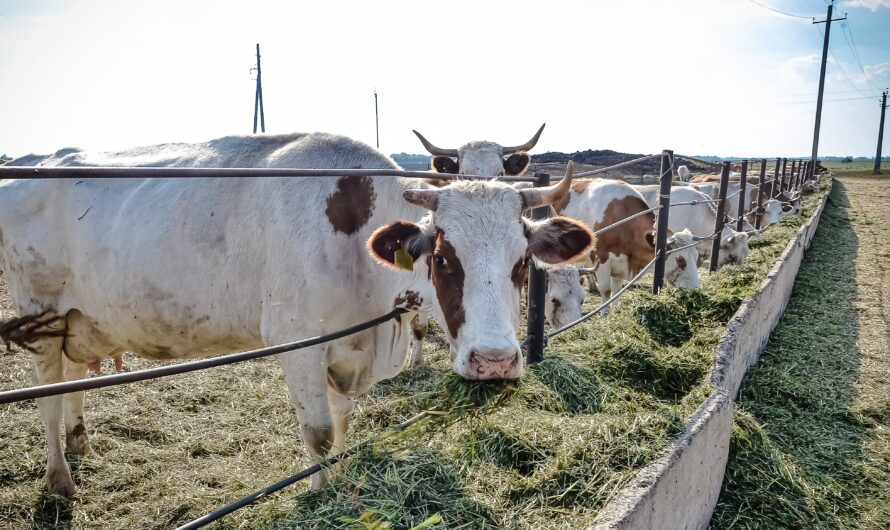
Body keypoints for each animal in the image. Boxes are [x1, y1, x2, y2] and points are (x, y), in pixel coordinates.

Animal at [0, 133, 594, 496]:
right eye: (444, 258)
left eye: (523, 261)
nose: (494, 361)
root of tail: (35, 167)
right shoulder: (296, 342)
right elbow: (319, 431)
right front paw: (319, 490)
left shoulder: (349, 348)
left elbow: (343, 418)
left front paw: (342, 473)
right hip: (38, 313)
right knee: (47, 395)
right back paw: (59, 478)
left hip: (79, 318)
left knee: (73, 380)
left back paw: (80, 441)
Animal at [552, 178, 701, 312]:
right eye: (681, 261)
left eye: (696, 257)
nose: (696, 290)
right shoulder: (602, 259)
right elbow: (606, 290)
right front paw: (605, 316)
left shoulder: (620, 265)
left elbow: (616, 292)